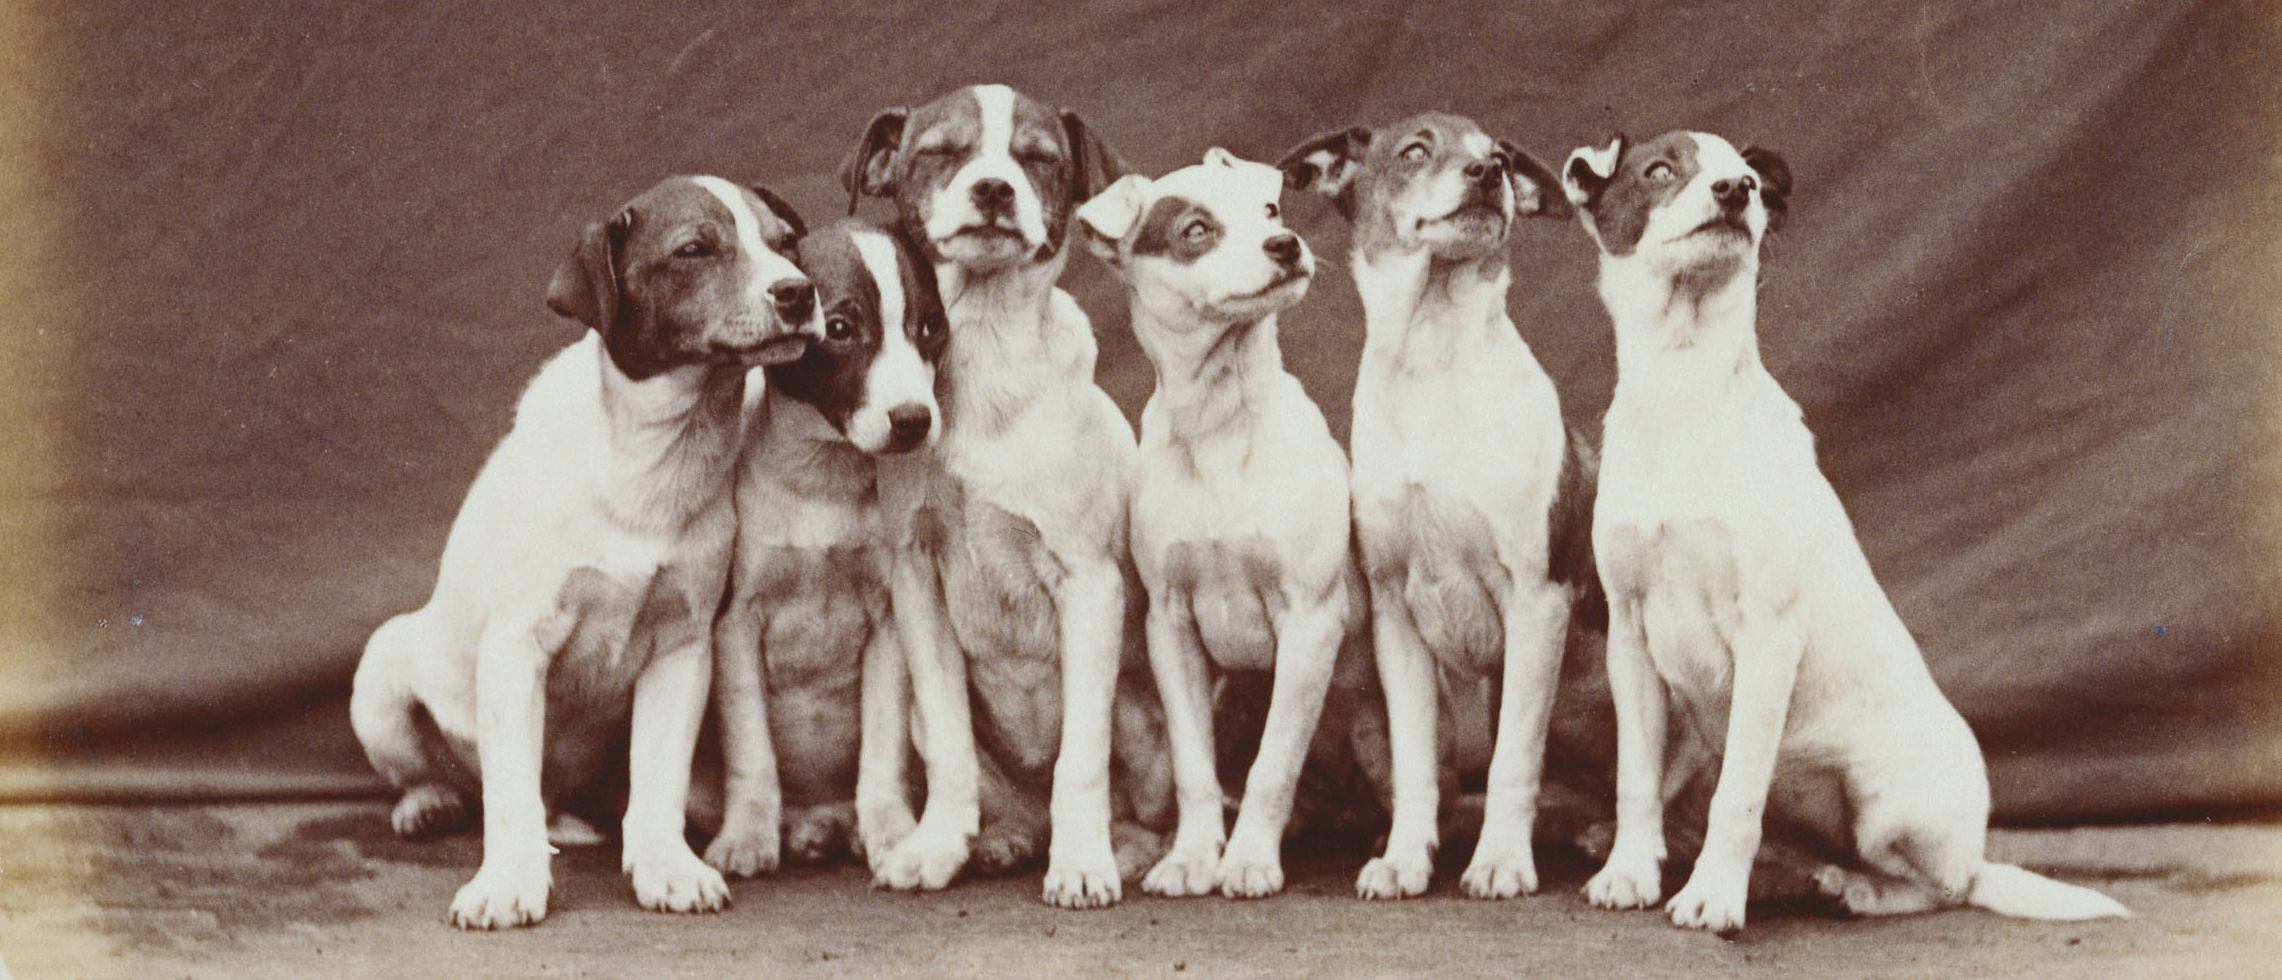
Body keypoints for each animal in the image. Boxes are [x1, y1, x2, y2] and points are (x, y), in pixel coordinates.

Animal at [346, 173, 821, 922]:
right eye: (694, 250)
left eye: (787, 243)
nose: (799, 293)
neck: (656, 454)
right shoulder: (517, 647)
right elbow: (510, 794)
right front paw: (507, 883)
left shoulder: (683, 649)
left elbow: (658, 779)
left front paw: (665, 868)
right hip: (382, 677)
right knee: (461, 784)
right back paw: (429, 804)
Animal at [693, 219, 944, 877]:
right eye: (838, 329)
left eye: (932, 325)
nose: (914, 420)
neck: (822, 481)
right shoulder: (736, 627)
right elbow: (752, 750)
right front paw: (747, 836)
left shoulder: (888, 625)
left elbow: (881, 752)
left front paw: (890, 832)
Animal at [839, 85, 1177, 909]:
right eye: (942, 152)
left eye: (1037, 159)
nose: (994, 189)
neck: (986, 354)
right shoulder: (917, 583)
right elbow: (951, 746)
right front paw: (938, 847)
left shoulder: (1089, 586)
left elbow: (1081, 759)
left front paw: (1082, 866)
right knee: (1011, 800)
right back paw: (1003, 839)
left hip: (1145, 718)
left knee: (1144, 806)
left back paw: (1120, 851)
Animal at [1277, 110, 1597, 895]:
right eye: (1414, 152)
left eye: (1497, 159)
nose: (1486, 175)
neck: (1434, 362)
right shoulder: (1397, 612)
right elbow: (1417, 760)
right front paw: (1403, 859)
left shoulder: (1538, 603)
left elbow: (1514, 757)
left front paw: (1502, 862)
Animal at [1560, 131, 2126, 932]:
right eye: (1659, 170)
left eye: (1749, 179)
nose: (1736, 190)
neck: (1686, 394)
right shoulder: (1632, 641)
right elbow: (1635, 779)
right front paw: (1630, 871)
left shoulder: (1767, 638)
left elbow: (1738, 800)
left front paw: (1711, 897)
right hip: (1705, 743)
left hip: (1886, 806)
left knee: (1941, 887)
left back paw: (1851, 889)